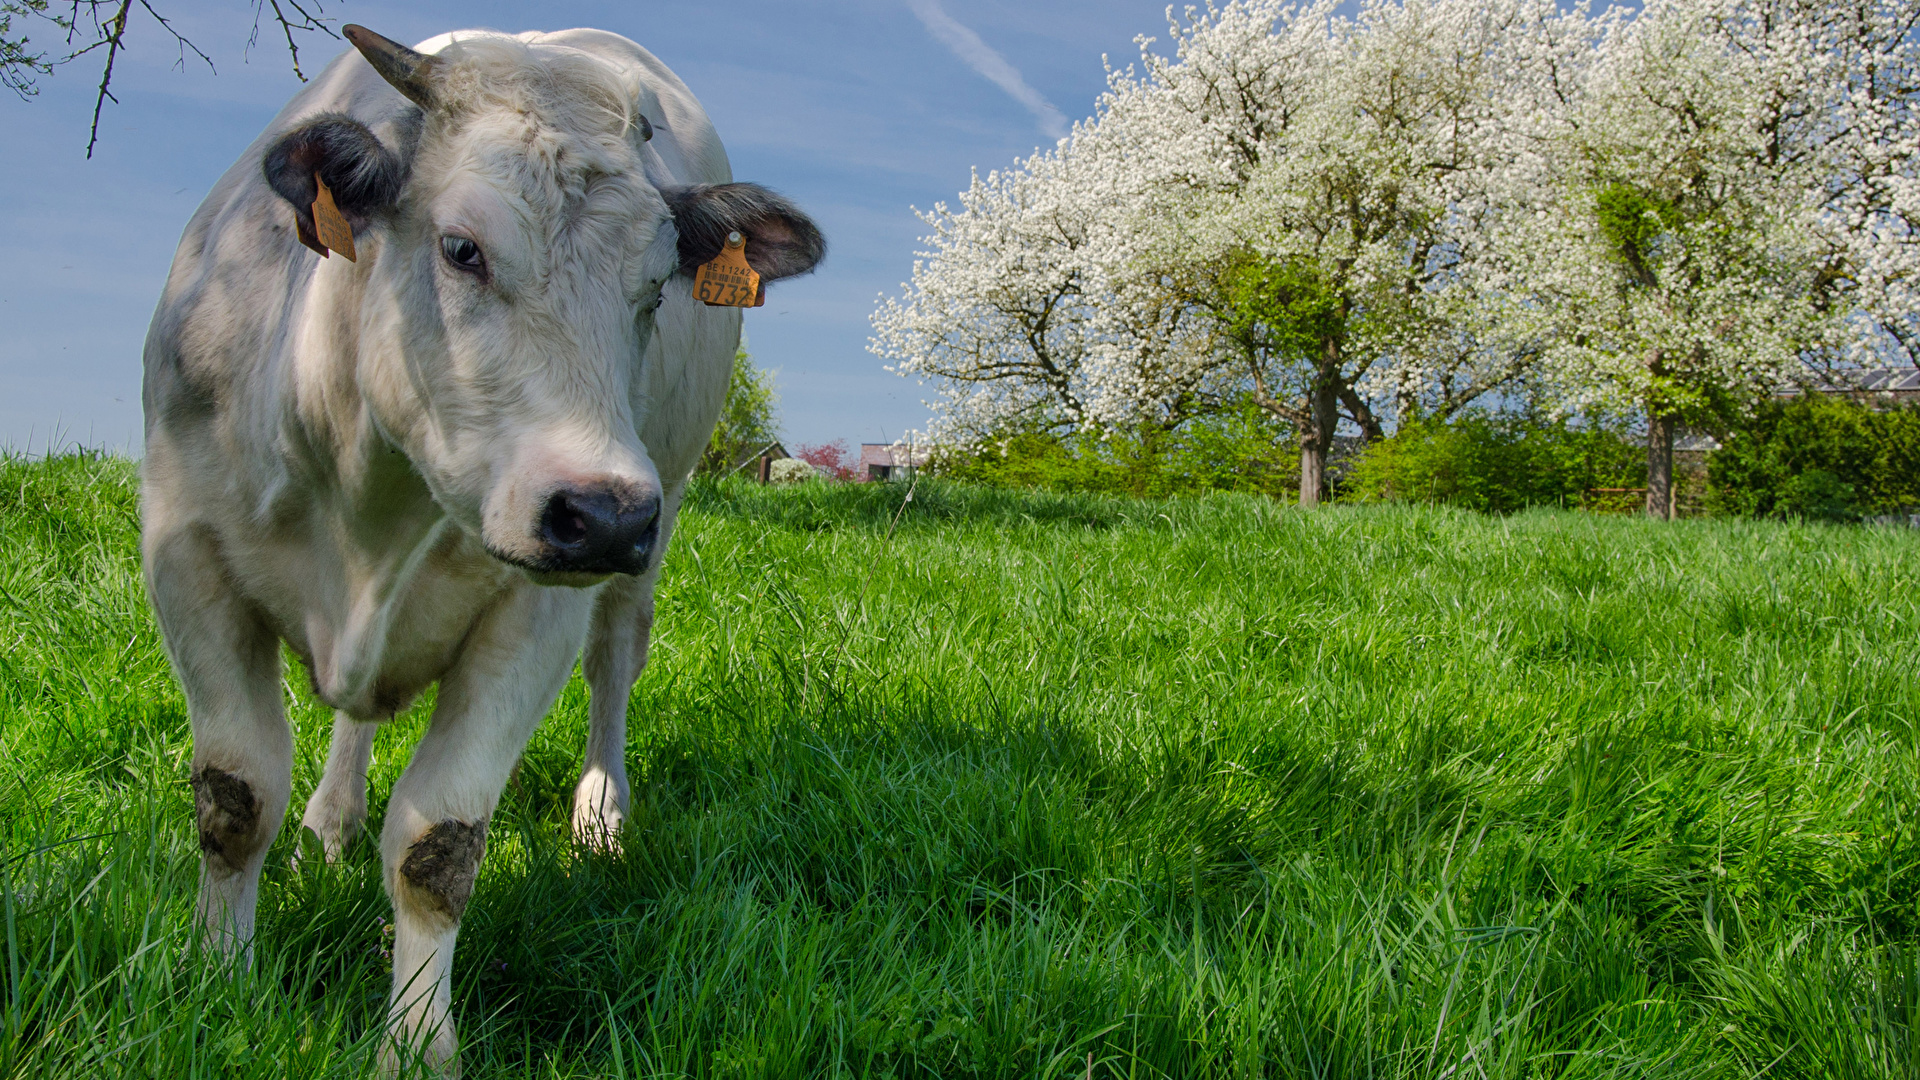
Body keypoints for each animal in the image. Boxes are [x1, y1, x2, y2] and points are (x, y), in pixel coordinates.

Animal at [140, 25, 822, 1073]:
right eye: (461, 249)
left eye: (655, 287)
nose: (605, 513)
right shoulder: (185, 554)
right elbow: (236, 796)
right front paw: (216, 979)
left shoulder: (535, 612)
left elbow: (438, 845)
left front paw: (419, 1045)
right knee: (352, 724)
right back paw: (330, 822)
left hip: (648, 532)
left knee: (614, 663)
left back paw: (600, 817)